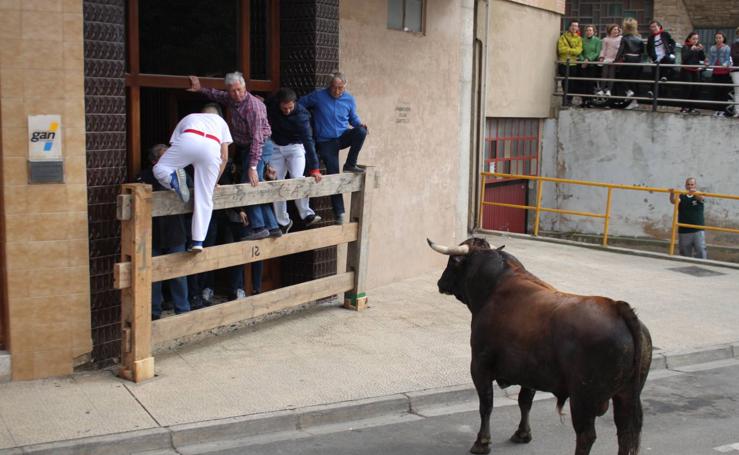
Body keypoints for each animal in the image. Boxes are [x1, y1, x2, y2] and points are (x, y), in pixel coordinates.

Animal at [428, 237, 652, 454]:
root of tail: (617, 307)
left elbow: (486, 404)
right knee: (627, 433)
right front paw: (522, 434)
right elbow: (525, 401)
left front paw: (482, 443)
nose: (440, 282)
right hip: (627, 395)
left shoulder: (479, 365)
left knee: (586, 435)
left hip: (583, 399)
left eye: (452, 262)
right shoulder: (530, 371)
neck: (494, 287)